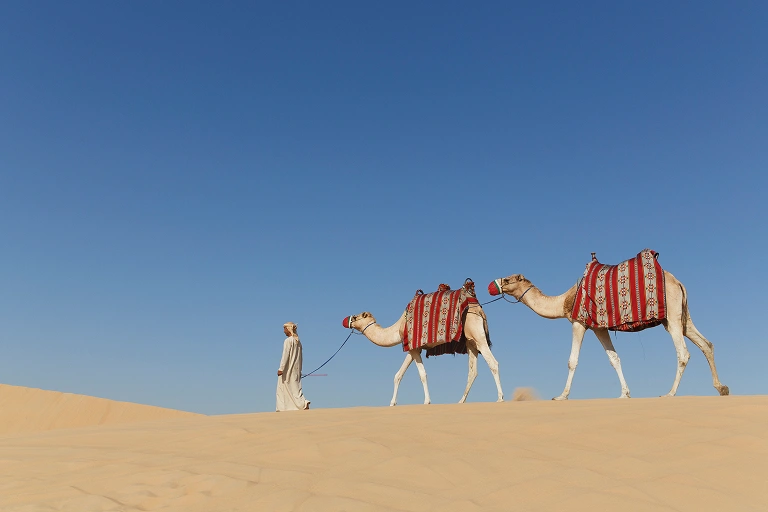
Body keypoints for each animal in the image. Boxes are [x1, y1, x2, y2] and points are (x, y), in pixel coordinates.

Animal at [342, 304, 503, 406]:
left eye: (356, 317)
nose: (346, 320)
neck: (398, 327)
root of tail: (480, 311)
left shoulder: (414, 348)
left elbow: (422, 374)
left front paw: (427, 401)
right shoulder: (413, 349)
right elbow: (398, 375)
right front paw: (392, 403)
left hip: (478, 336)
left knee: (493, 362)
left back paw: (500, 398)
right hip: (470, 342)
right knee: (473, 371)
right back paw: (460, 401)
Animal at [488, 271, 729, 400]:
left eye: (508, 280)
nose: (492, 284)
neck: (565, 300)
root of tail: (678, 282)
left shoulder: (579, 322)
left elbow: (572, 361)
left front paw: (561, 395)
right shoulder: (599, 327)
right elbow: (614, 358)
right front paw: (625, 393)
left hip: (671, 315)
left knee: (683, 352)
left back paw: (669, 393)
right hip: (681, 317)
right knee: (706, 344)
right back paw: (721, 388)